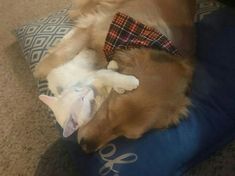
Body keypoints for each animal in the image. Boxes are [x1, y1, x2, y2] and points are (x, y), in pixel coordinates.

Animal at [34, 0, 196, 153]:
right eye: (109, 111)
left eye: (126, 135)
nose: (86, 147)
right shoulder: (96, 26)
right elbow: (64, 52)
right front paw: (40, 70)